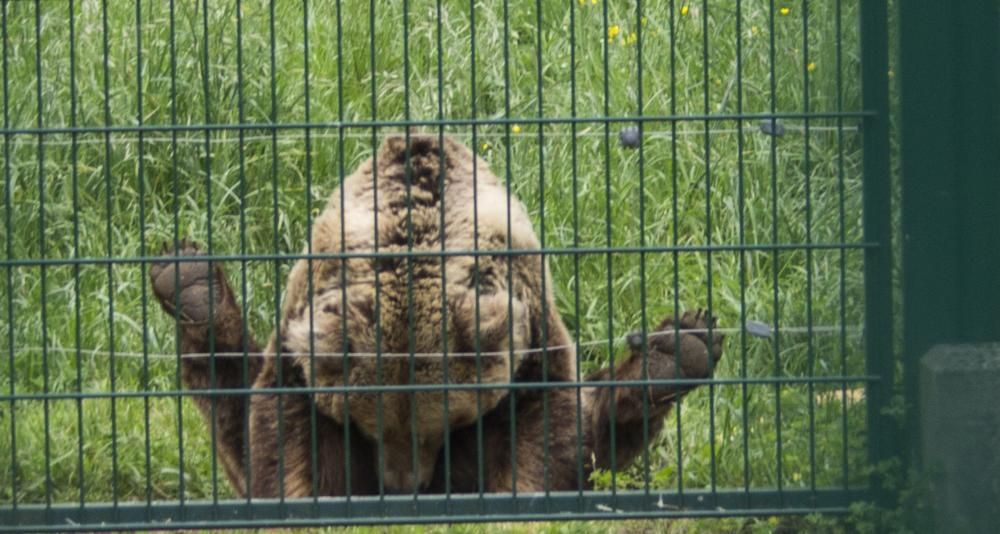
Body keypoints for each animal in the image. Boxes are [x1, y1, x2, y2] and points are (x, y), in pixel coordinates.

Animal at [148, 133, 724, 498]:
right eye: (368, 426)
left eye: (442, 424)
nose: (405, 485)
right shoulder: (304, 332)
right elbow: (286, 442)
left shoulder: (530, 327)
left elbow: (544, 432)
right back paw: (192, 285)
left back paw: (675, 353)